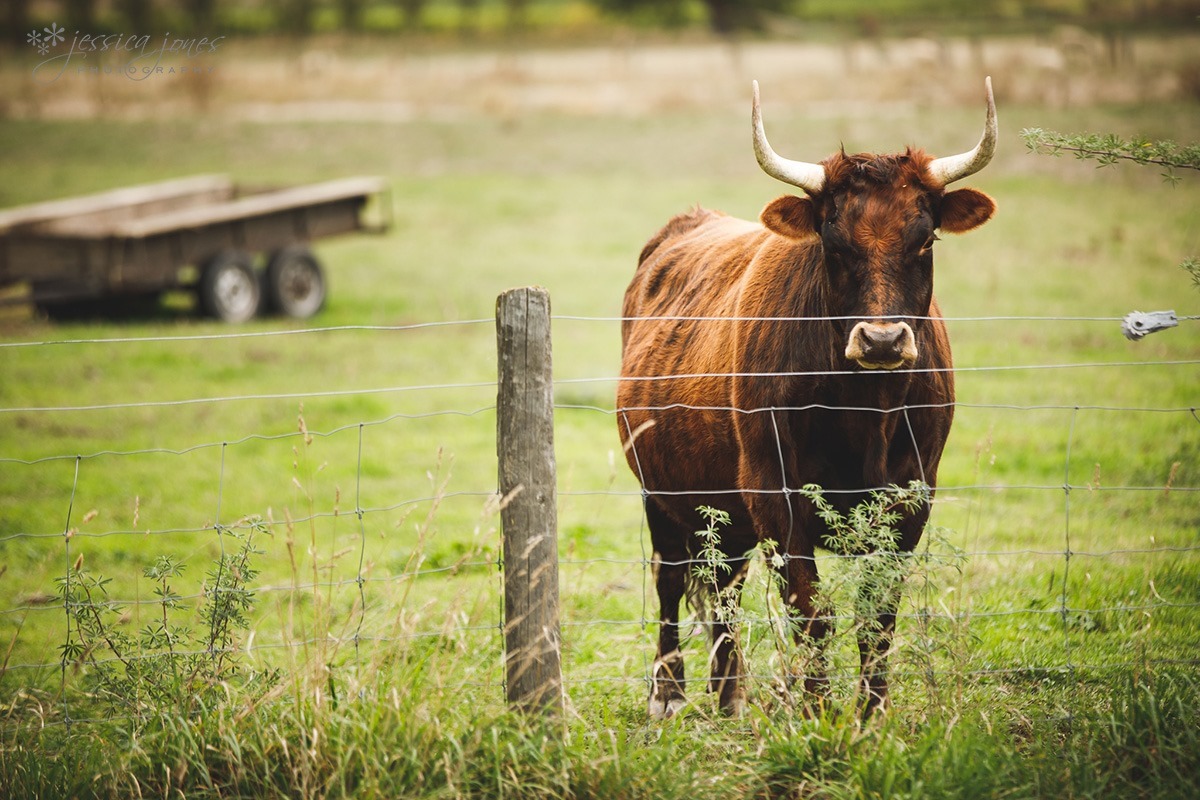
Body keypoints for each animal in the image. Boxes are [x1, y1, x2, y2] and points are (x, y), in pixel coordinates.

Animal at [619, 79, 993, 719]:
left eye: (925, 239)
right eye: (833, 242)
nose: (882, 340)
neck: (865, 410)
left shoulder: (911, 500)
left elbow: (877, 619)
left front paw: (871, 715)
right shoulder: (776, 494)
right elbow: (811, 615)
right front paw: (820, 714)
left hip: (722, 509)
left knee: (723, 586)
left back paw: (729, 695)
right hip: (660, 490)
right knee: (671, 579)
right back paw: (669, 693)